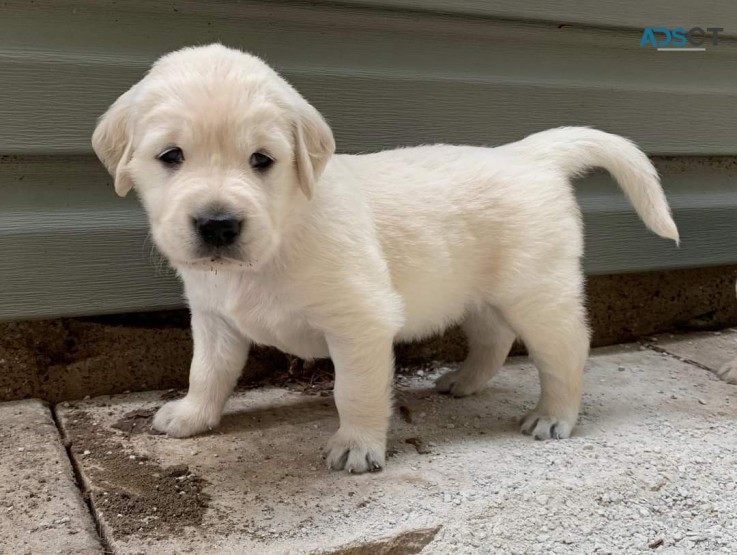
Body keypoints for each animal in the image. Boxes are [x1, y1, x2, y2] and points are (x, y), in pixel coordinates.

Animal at [90, 45, 680, 476]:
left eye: (262, 160)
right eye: (171, 156)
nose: (217, 224)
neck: (282, 235)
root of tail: (528, 155)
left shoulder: (360, 323)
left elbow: (353, 390)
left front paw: (356, 446)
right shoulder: (215, 319)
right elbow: (207, 372)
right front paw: (192, 415)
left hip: (538, 293)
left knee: (565, 350)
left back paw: (553, 416)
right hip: (476, 292)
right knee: (493, 337)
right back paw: (464, 382)